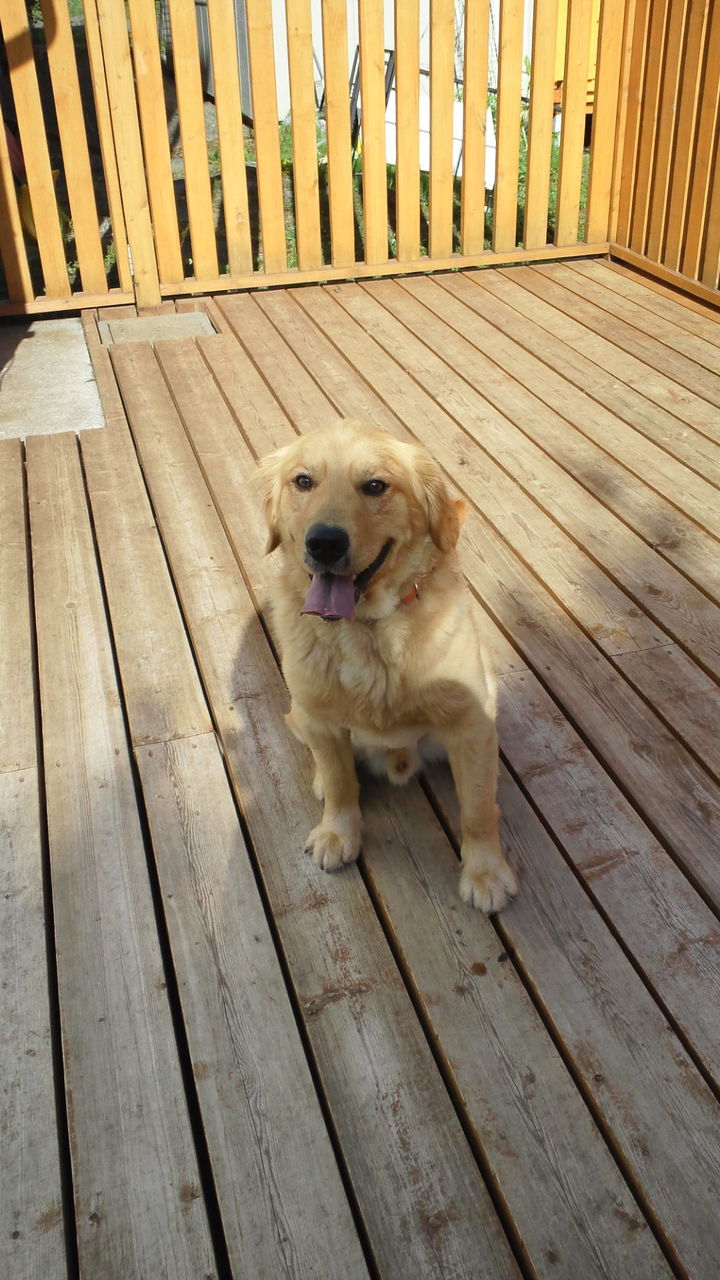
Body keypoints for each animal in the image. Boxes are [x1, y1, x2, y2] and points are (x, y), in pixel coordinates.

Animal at [257, 419, 517, 912]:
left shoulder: (470, 725)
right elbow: (342, 784)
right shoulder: (320, 720)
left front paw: (485, 872)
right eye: (303, 481)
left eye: (375, 485)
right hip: (300, 713)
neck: (368, 631)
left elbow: (477, 809)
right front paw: (338, 832)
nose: (324, 542)